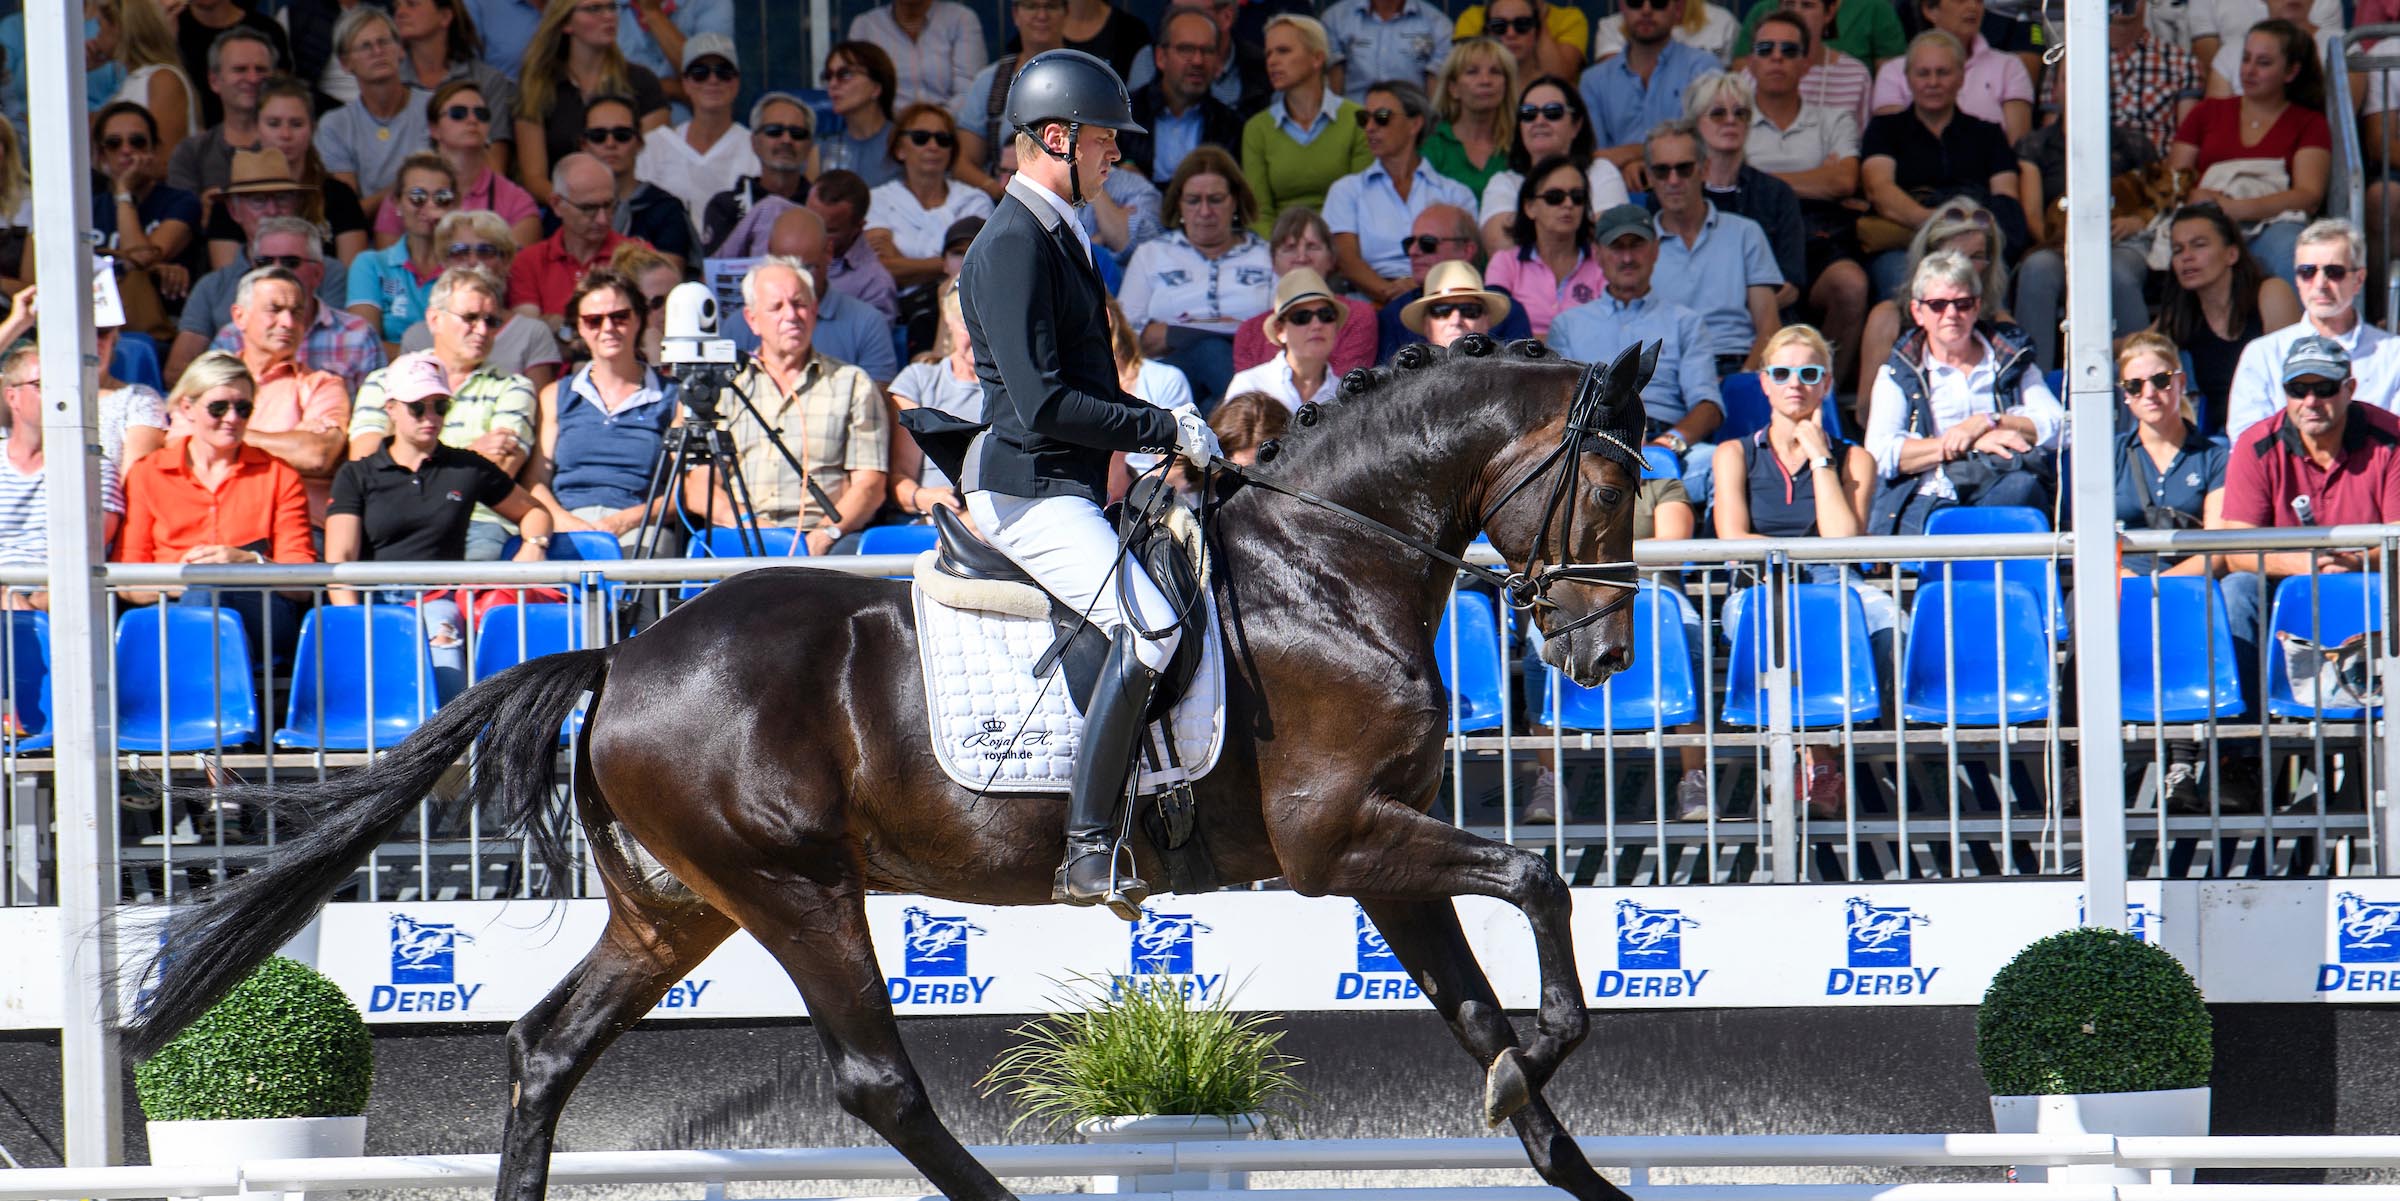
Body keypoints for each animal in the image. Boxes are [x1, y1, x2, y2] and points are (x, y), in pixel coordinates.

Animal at [121, 336, 1660, 1201]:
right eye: (1606, 482)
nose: (1596, 656)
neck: (1326, 569)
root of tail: (624, 656)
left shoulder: (1380, 852)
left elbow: (1484, 1015)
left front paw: (1536, 1109)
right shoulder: (1341, 838)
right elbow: (1542, 881)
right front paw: (1537, 1062)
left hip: (675, 908)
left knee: (546, 1050)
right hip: (797, 887)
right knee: (877, 1083)